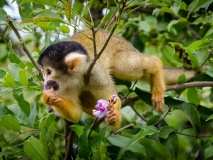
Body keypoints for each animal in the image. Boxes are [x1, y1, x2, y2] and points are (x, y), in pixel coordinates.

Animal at [37, 29, 195, 127]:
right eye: (44, 72)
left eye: (49, 71)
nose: (46, 82)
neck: (75, 77)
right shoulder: (63, 86)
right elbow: (76, 114)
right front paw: (49, 98)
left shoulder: (95, 72)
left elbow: (112, 97)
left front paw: (115, 117)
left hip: (121, 51)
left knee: (128, 67)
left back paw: (155, 66)